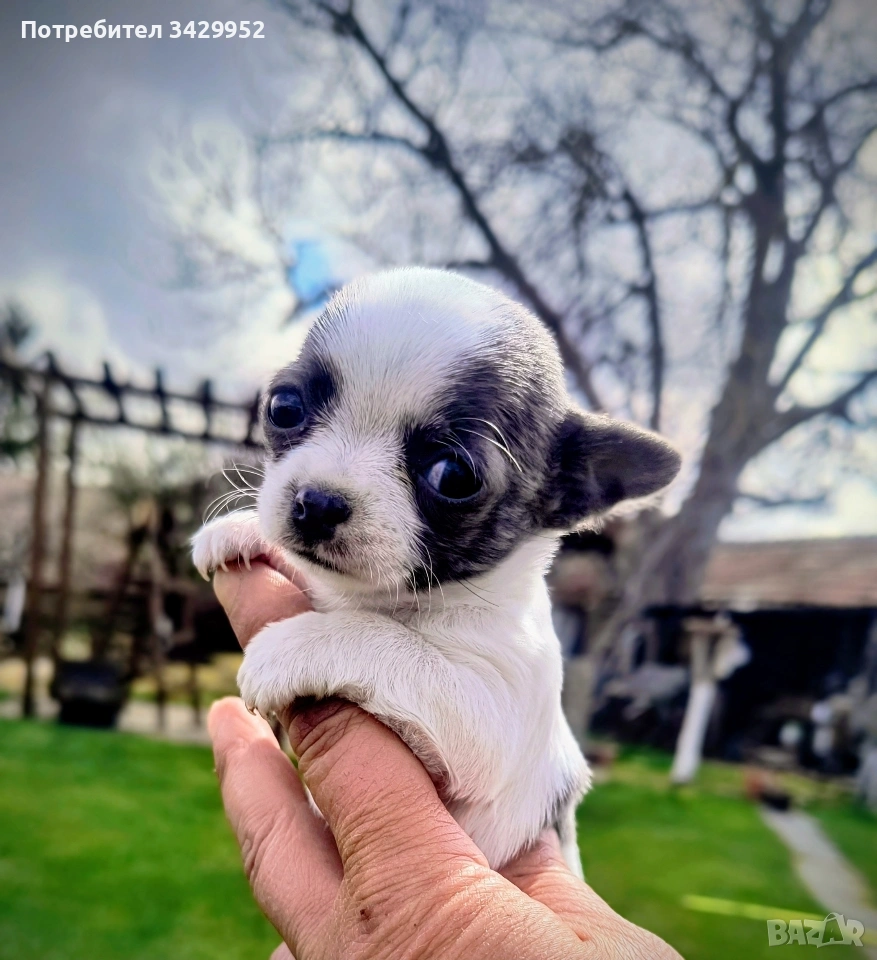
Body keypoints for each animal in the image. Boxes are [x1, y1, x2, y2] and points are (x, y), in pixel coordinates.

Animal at [192, 267, 681, 874]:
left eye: (453, 476)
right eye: (283, 407)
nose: (317, 502)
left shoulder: (487, 720)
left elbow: (389, 642)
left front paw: (297, 645)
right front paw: (242, 530)